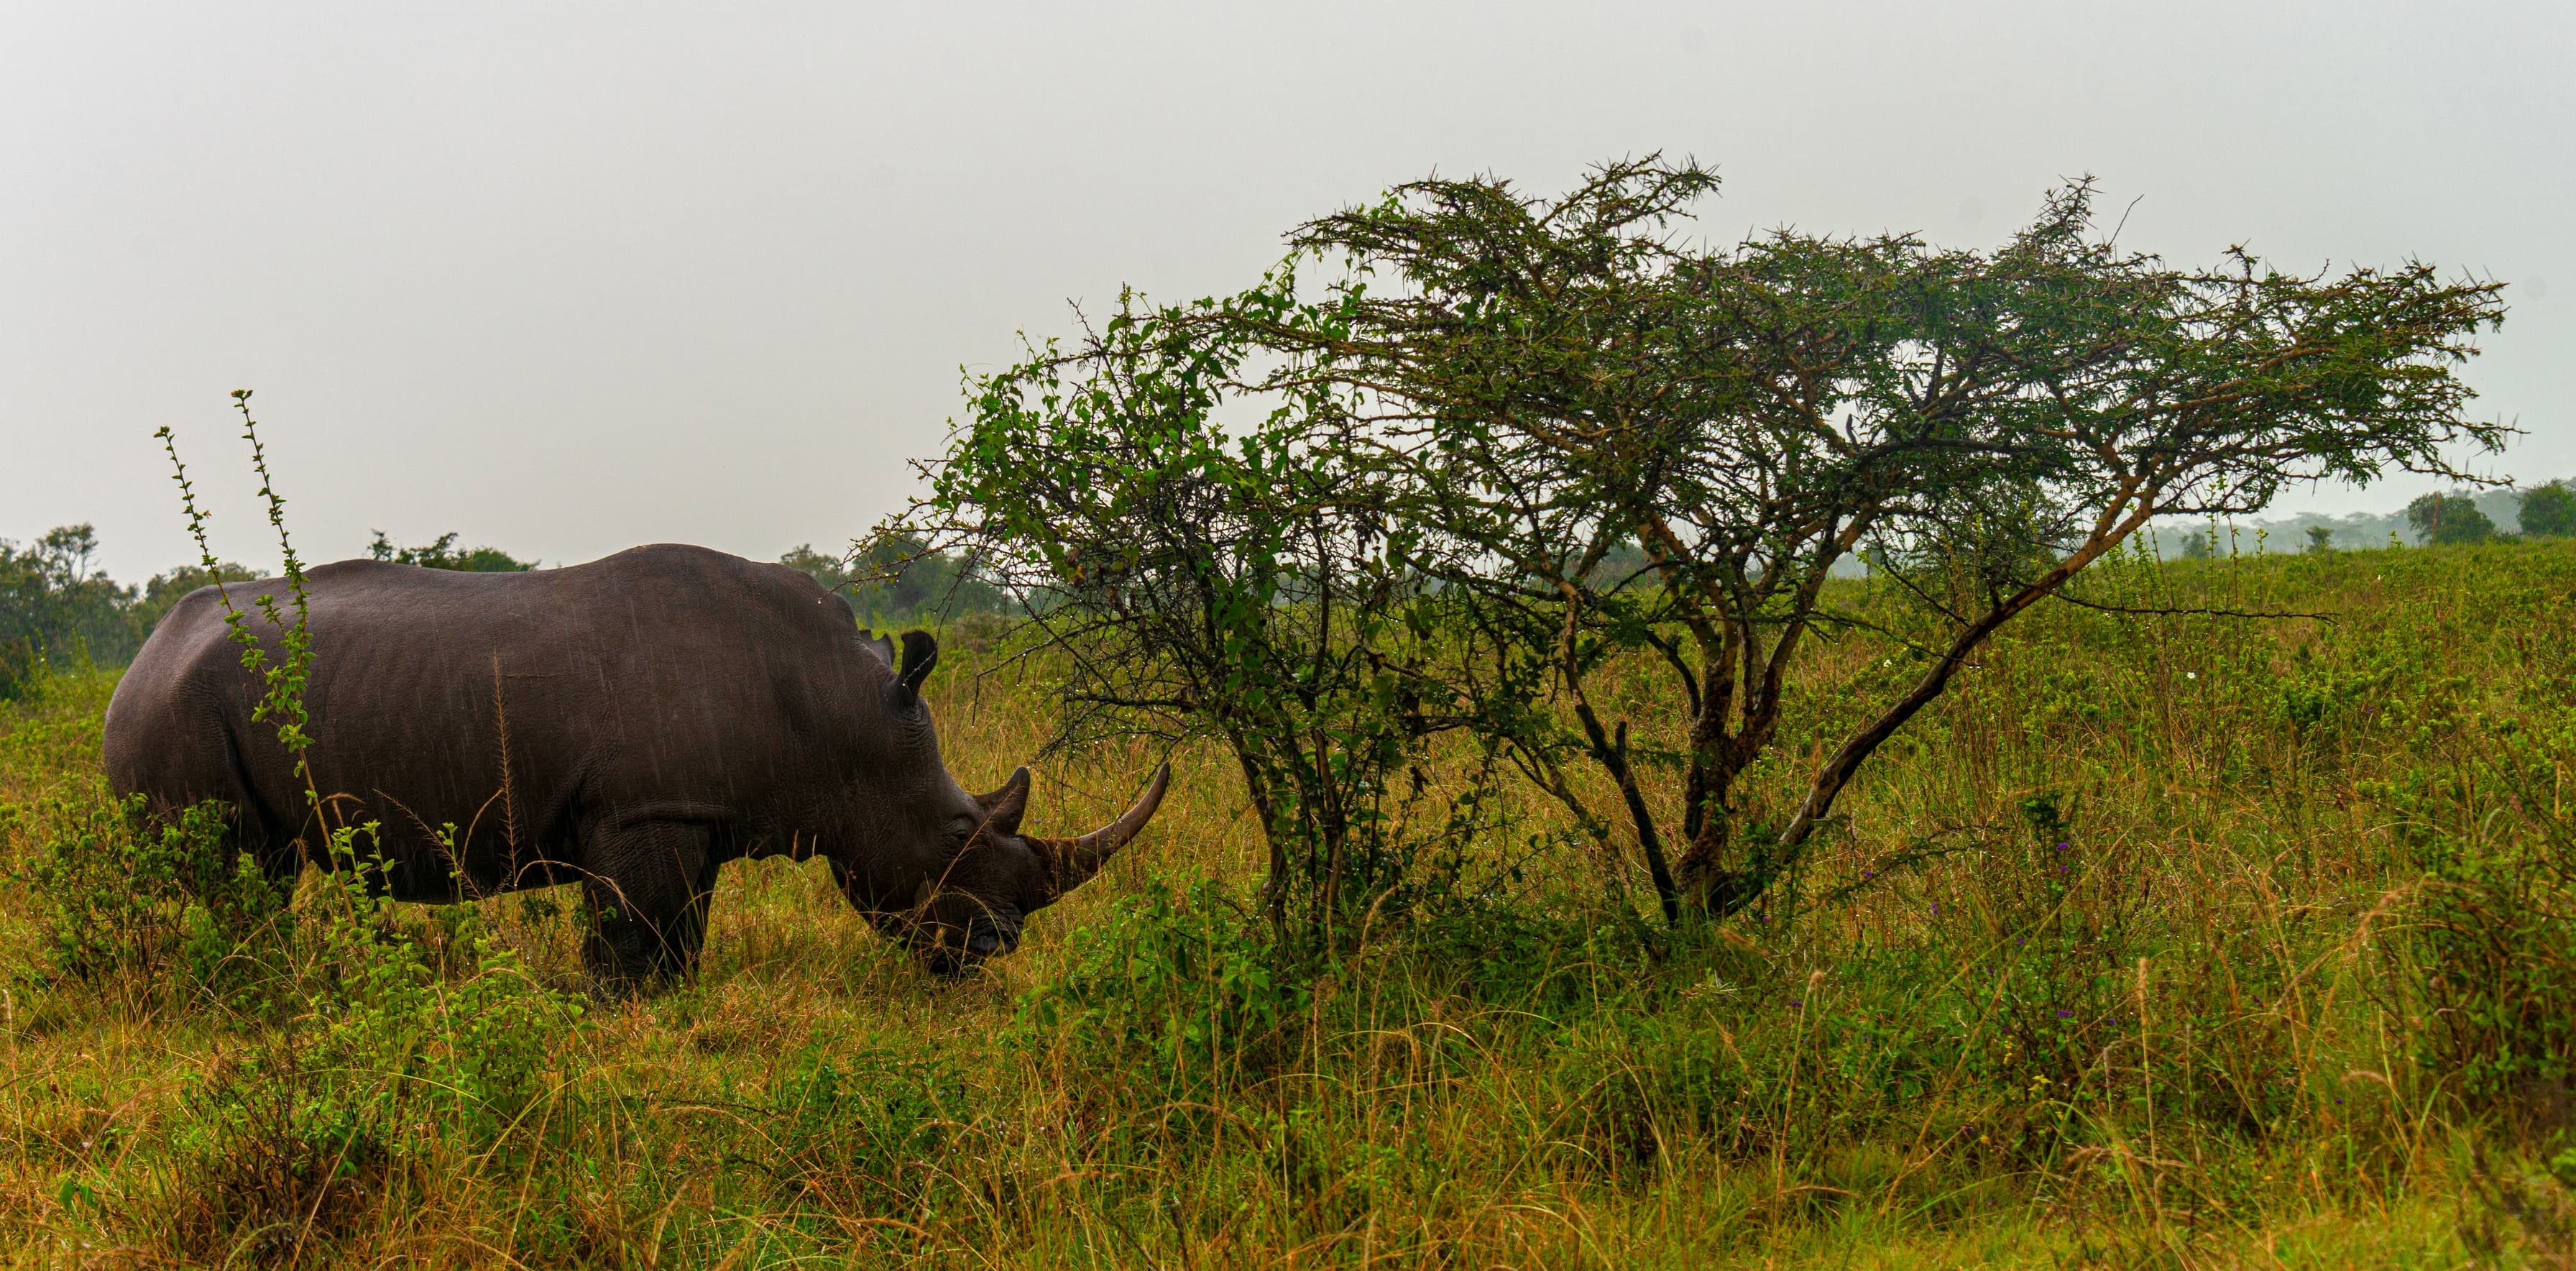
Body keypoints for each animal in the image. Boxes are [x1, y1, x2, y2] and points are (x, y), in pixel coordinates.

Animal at [101, 543, 1166, 985]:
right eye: (956, 832)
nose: (993, 951)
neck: (834, 712)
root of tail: (138, 656)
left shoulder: (688, 815)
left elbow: (677, 940)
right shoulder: (646, 811)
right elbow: (632, 941)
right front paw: (613, 1013)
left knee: (267, 870)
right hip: (176, 708)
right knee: (237, 877)